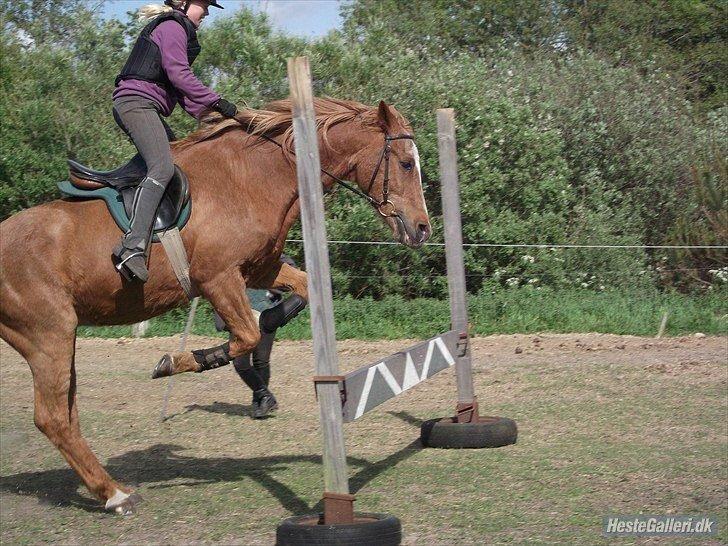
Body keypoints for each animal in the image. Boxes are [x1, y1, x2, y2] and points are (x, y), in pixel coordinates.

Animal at [0, 96, 432, 510]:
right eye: (407, 163)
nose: (422, 229)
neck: (252, 176)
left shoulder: (260, 269)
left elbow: (297, 296)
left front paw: (259, 337)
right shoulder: (219, 278)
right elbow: (246, 335)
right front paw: (174, 361)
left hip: (59, 337)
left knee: (67, 412)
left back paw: (107, 487)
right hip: (49, 335)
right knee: (53, 417)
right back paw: (115, 495)